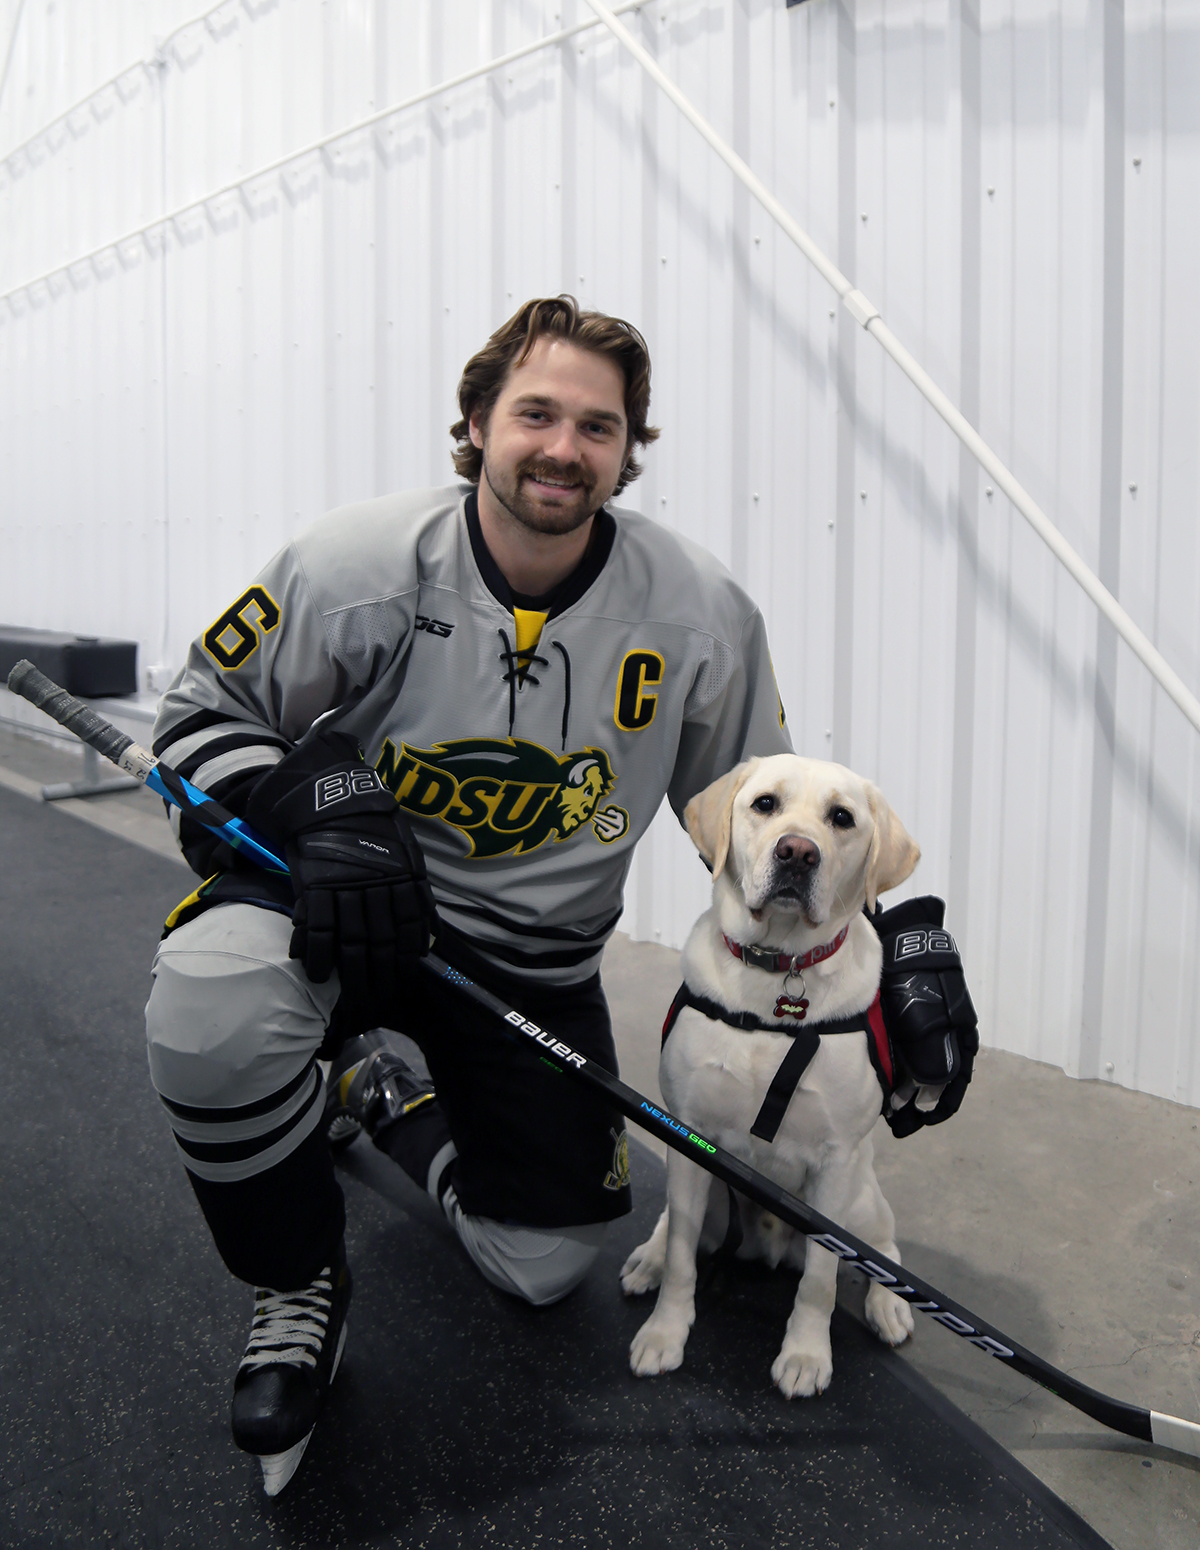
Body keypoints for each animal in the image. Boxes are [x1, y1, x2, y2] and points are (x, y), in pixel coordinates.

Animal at [626, 756, 924, 1401]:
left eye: (842, 818)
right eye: (765, 804)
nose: (797, 852)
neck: (776, 977)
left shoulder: (835, 1165)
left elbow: (820, 1280)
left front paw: (806, 1356)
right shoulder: (691, 1141)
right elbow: (684, 1256)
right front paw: (664, 1333)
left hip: (861, 1200)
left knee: (884, 1250)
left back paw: (888, 1306)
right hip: (716, 1203)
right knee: (675, 1226)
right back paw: (650, 1257)